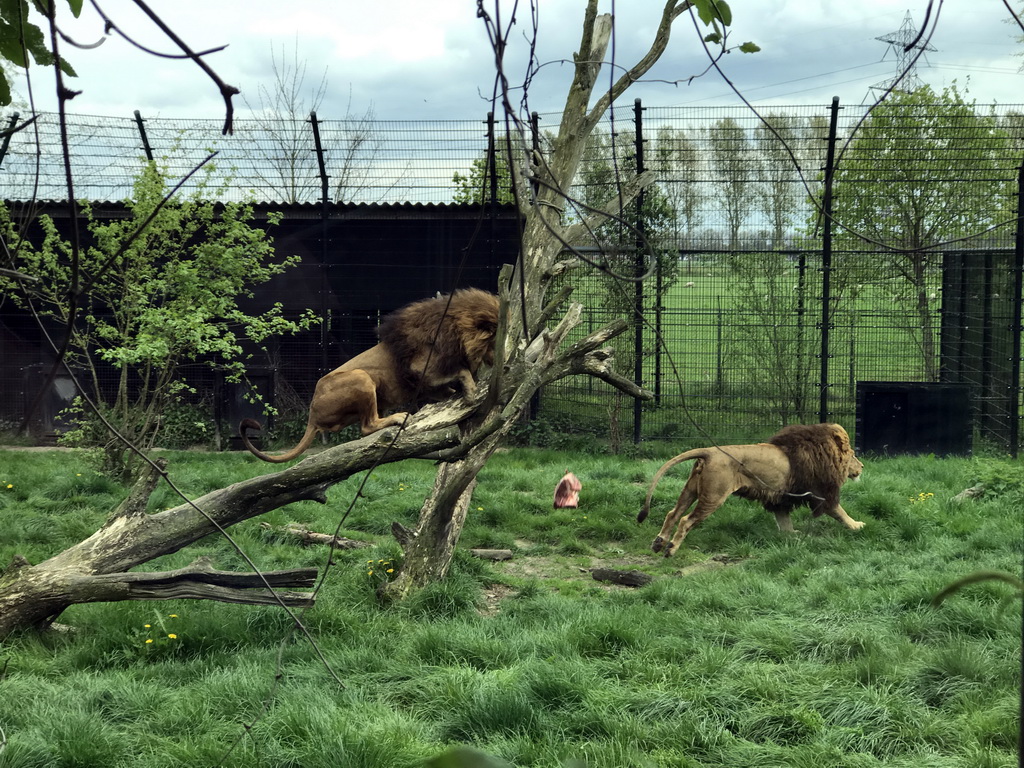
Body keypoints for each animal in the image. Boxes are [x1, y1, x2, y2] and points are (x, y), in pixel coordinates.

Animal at [237, 288, 497, 462]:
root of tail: (312, 414)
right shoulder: (422, 369)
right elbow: (461, 370)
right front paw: (471, 390)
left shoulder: (429, 385)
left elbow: (447, 387)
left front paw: (459, 392)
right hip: (361, 377)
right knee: (367, 426)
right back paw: (399, 417)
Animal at [638, 423, 864, 557]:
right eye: (853, 455)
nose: (862, 466)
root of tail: (709, 452)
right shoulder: (821, 492)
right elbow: (839, 511)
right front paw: (856, 526)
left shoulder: (780, 498)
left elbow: (784, 520)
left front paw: (790, 535)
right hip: (714, 496)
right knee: (686, 520)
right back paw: (670, 549)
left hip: (691, 490)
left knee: (673, 513)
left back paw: (658, 542)